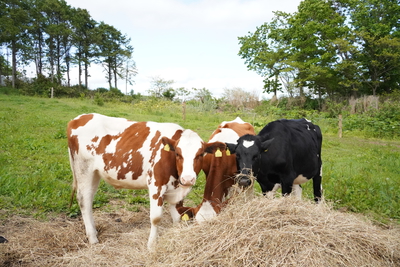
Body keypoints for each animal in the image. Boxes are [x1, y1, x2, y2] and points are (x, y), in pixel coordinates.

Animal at [68, 113, 225, 249]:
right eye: (178, 154)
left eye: (200, 154)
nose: (188, 178)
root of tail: (79, 118)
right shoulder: (156, 185)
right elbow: (155, 218)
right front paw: (151, 245)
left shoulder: (176, 190)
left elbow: (177, 216)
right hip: (84, 170)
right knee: (84, 200)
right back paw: (93, 238)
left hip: (95, 174)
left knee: (89, 199)